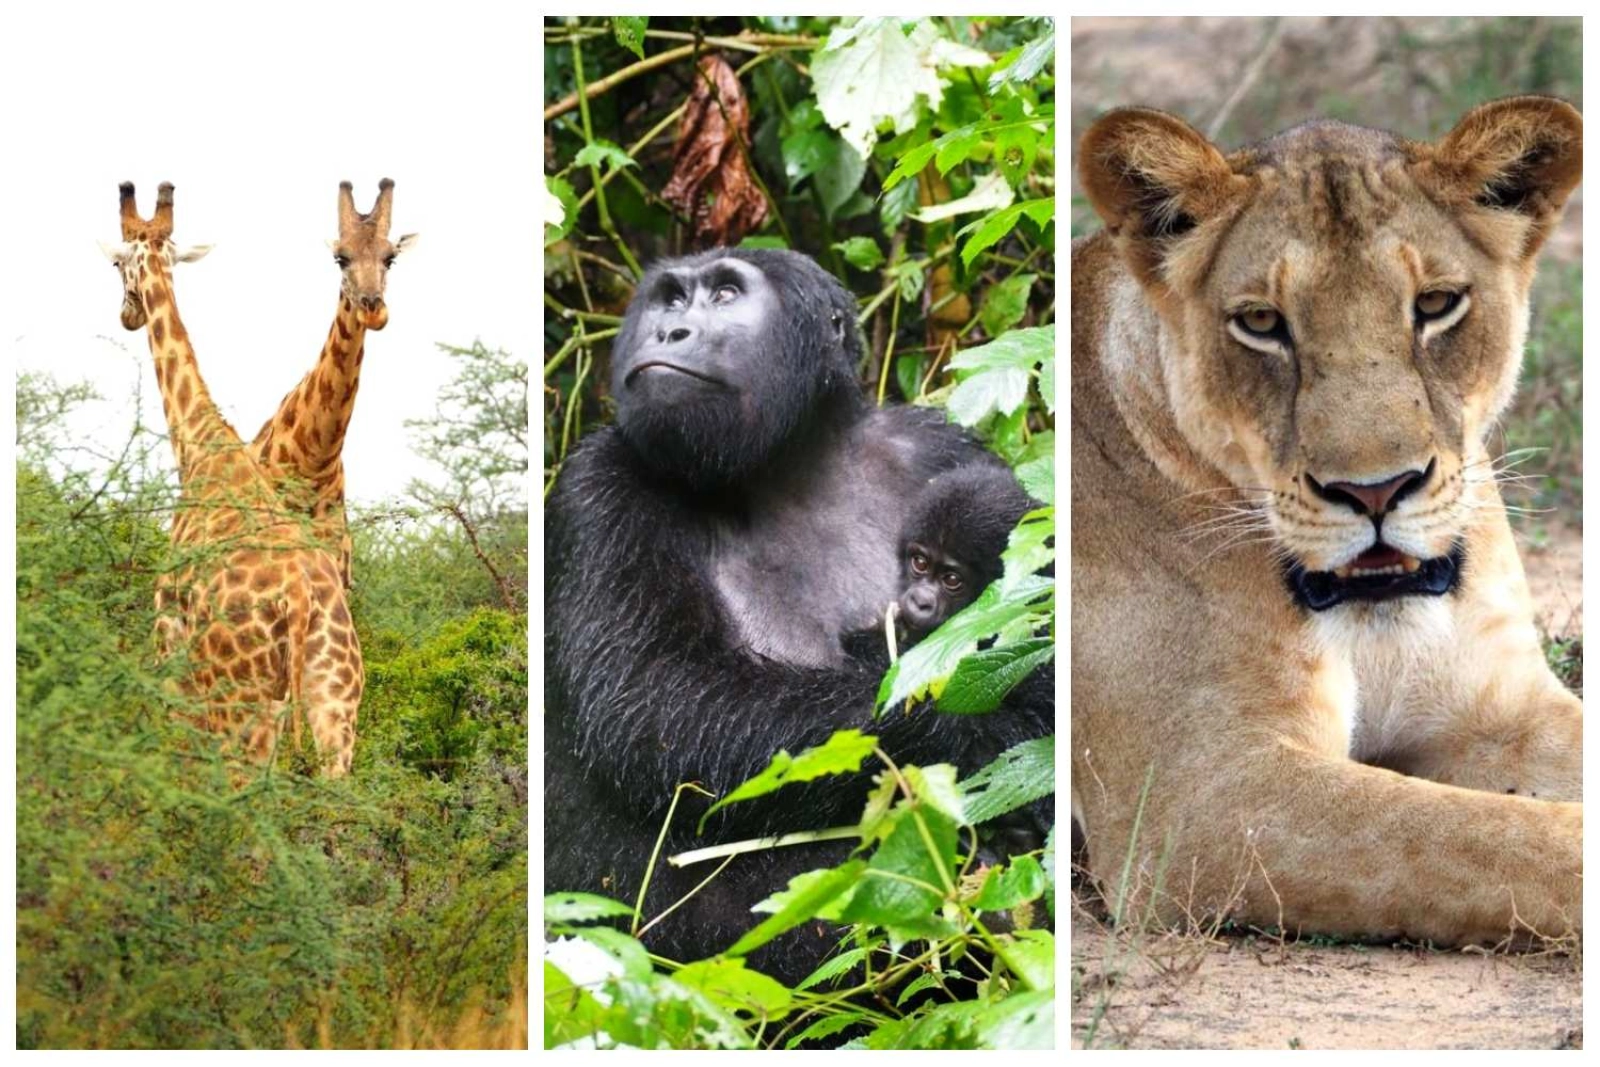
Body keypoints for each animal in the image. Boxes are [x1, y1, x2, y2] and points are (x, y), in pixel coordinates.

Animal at [1071, 97, 1582, 945]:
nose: (1376, 492)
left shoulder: (1504, 710)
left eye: (1436, 305)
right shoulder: (1197, 797)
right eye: (1261, 322)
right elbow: (1481, 837)